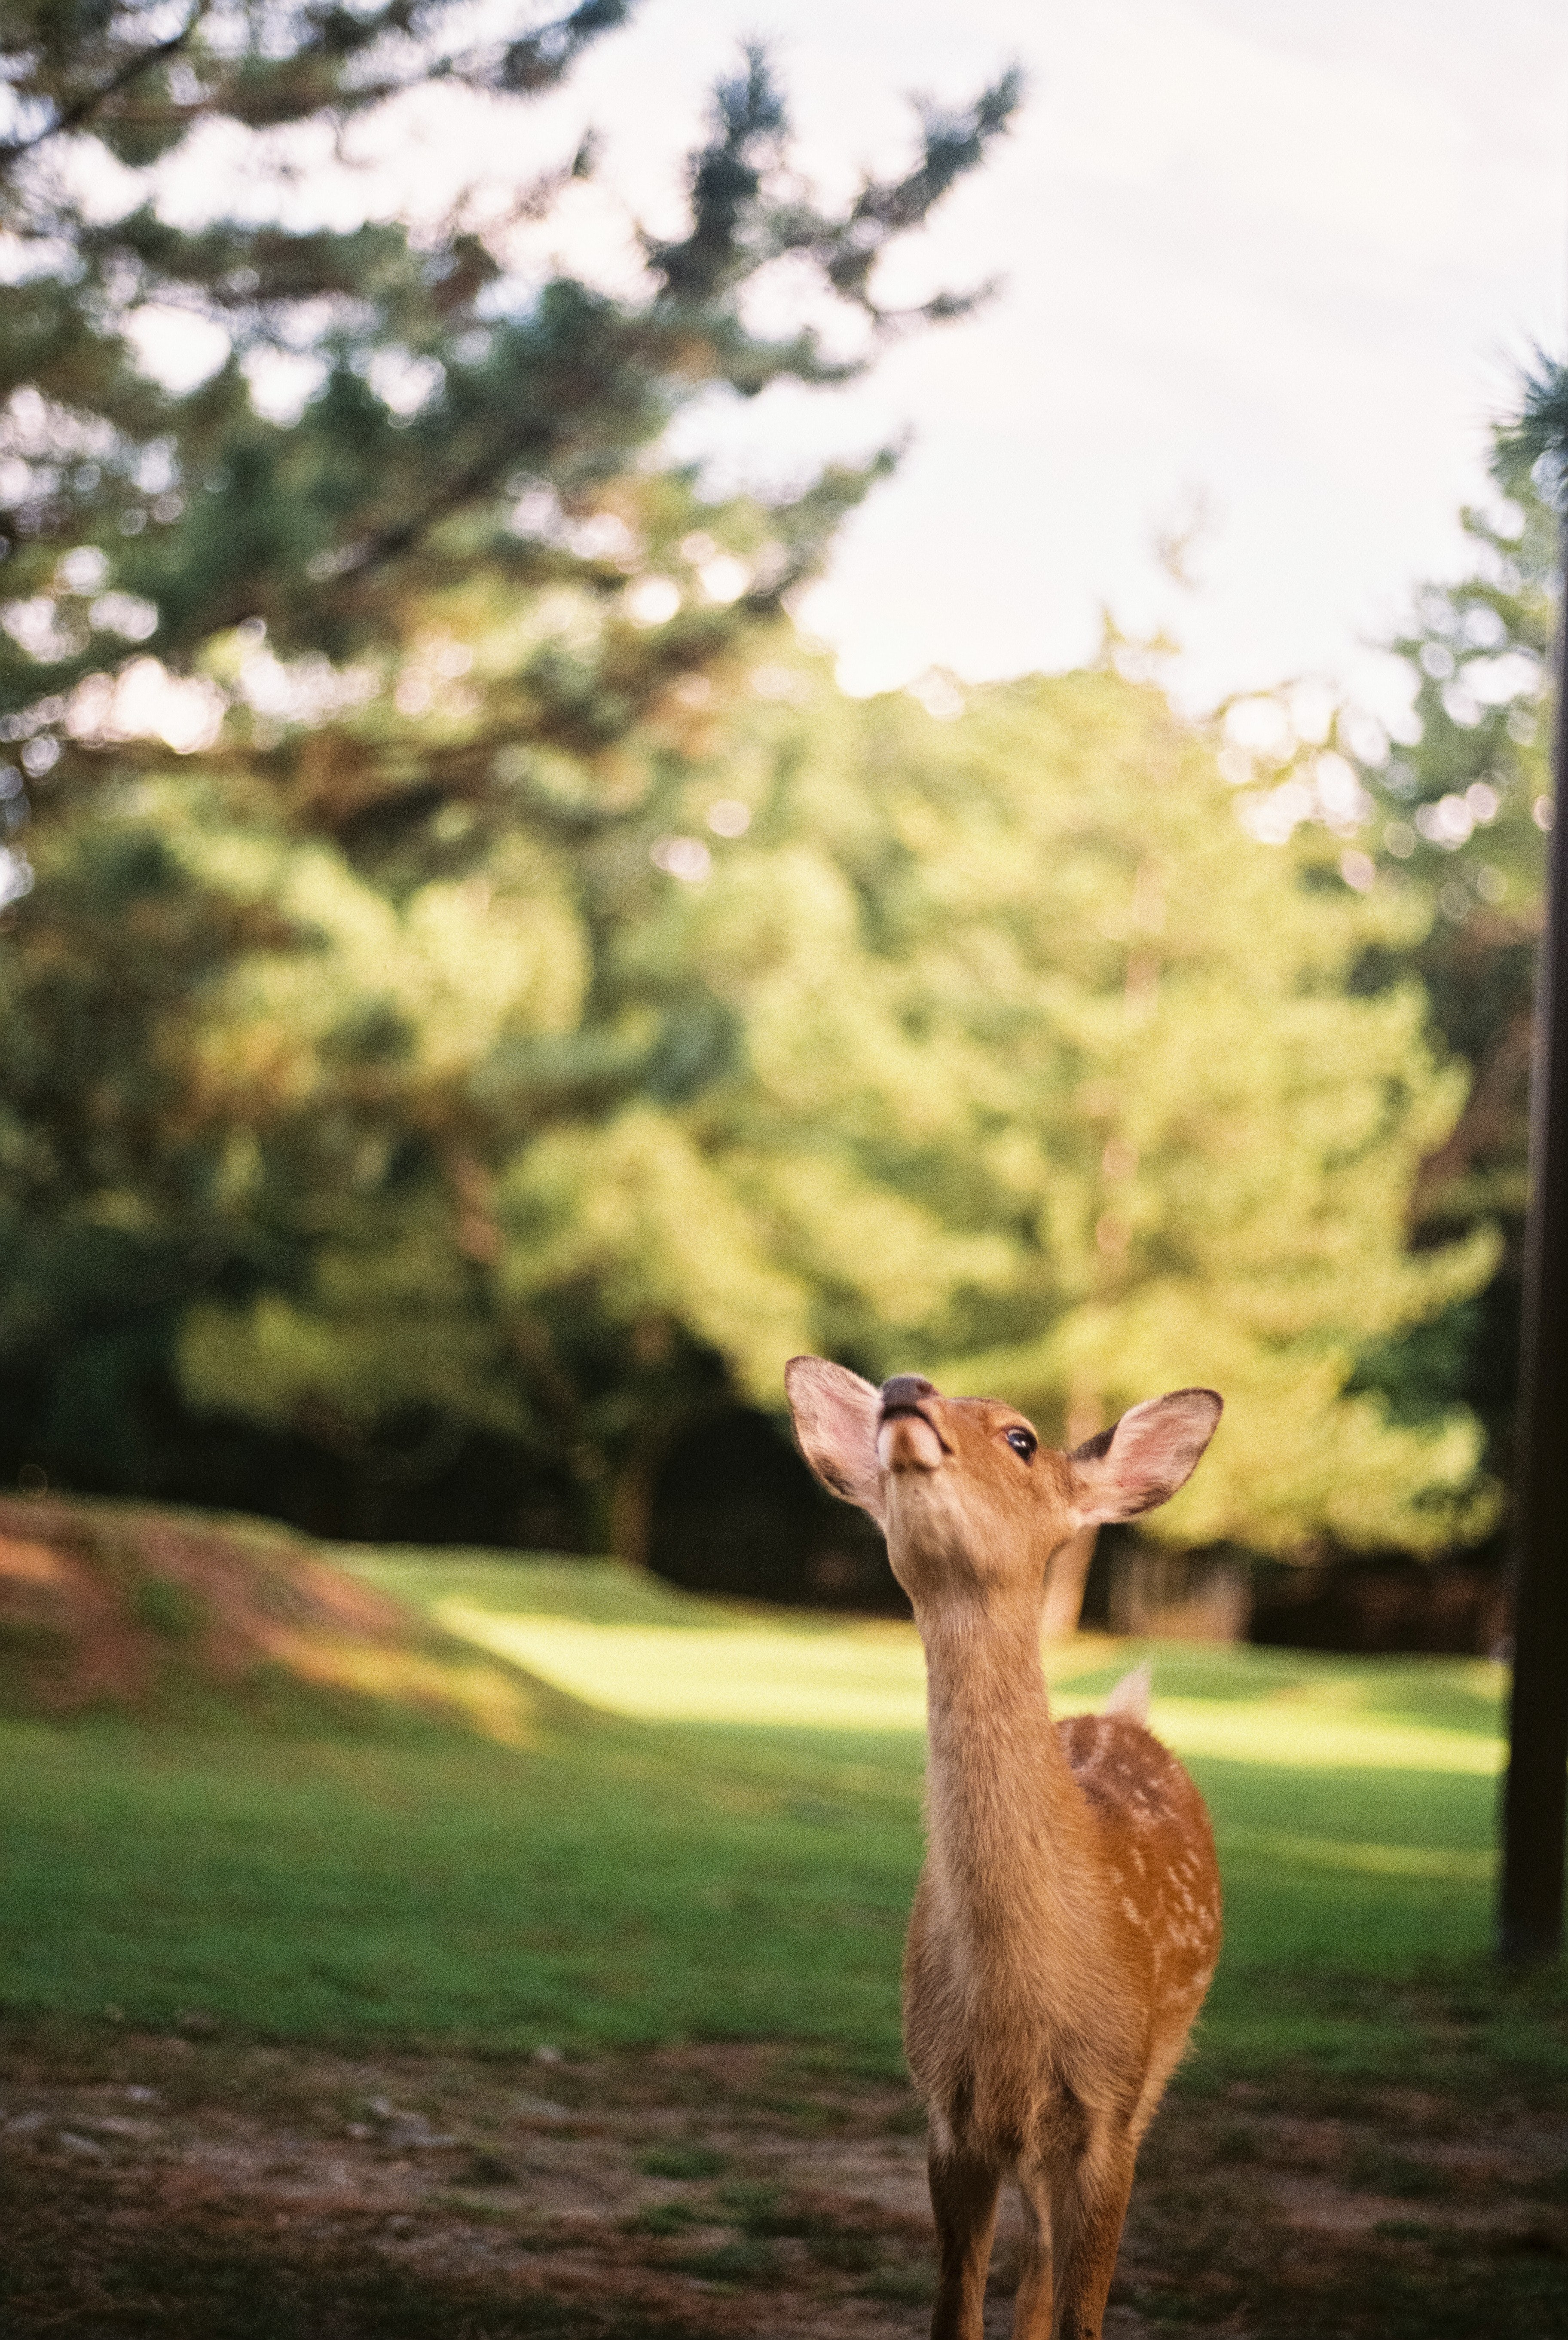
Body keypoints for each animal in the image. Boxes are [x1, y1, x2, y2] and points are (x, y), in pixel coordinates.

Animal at [785, 1359, 1223, 2340]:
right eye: (885, 1397)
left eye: (1021, 1436)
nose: (902, 1389)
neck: (1021, 2007)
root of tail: (1122, 1715)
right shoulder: (949, 2111)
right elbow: (957, 2310)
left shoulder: (1110, 2107)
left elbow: (1082, 2314)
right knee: (1033, 2257)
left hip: (1153, 2076)